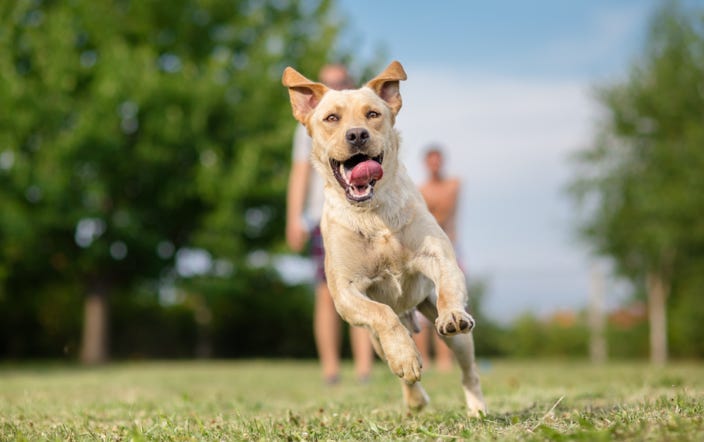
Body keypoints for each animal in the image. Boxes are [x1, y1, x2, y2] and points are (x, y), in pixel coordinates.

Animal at [280, 60, 484, 416]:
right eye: (331, 118)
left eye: (372, 114)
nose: (357, 134)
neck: (372, 214)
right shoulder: (346, 293)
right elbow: (382, 315)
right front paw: (405, 357)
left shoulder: (439, 258)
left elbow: (448, 287)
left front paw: (452, 314)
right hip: (373, 340)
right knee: (395, 351)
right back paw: (414, 396)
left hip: (455, 337)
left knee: (468, 370)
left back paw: (477, 408)